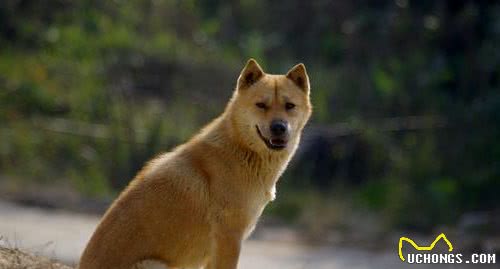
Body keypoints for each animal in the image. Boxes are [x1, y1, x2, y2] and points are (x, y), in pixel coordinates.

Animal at [78, 59, 310, 268]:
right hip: (154, 265)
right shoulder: (229, 238)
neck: (241, 149)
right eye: (261, 105)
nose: (279, 127)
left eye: (290, 106)